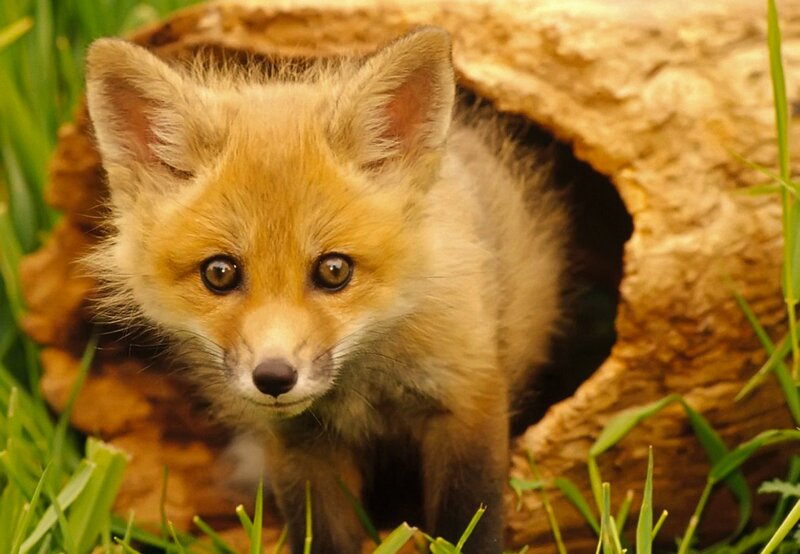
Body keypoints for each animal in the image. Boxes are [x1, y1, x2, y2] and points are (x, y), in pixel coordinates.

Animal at [84, 27, 567, 553]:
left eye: (334, 270)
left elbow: (468, 524)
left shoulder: (466, 398)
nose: (274, 377)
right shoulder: (299, 445)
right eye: (220, 273)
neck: (362, 388)